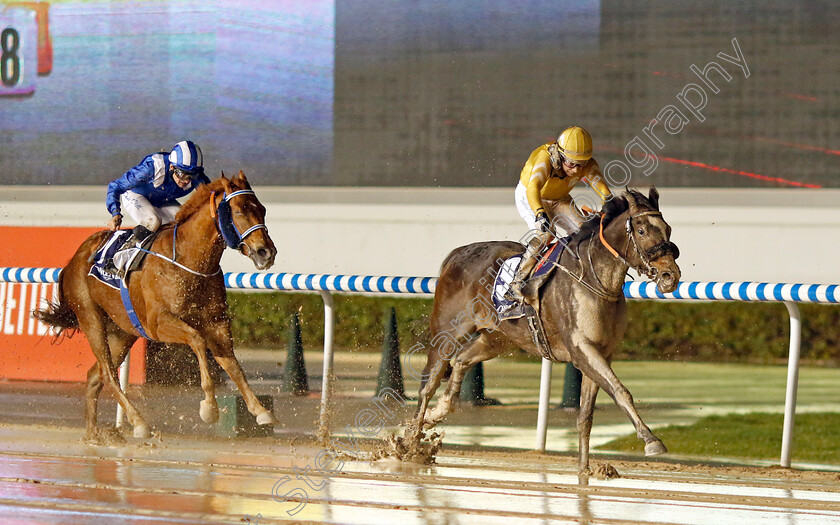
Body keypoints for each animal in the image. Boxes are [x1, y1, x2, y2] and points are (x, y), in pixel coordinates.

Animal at [36, 171, 278, 438]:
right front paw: (210, 408)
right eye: (238, 211)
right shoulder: (158, 324)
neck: (189, 259)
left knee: (94, 376)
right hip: (91, 319)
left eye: (262, 209)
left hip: (122, 331)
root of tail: (73, 261)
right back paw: (139, 422)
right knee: (108, 374)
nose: (266, 252)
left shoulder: (216, 322)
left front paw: (261, 410)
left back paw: (94, 434)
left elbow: (232, 364)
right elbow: (197, 340)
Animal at [408, 186, 684, 472]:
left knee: (461, 360)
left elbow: (586, 413)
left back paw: (438, 412)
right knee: (428, 383)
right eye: (641, 231)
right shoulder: (582, 349)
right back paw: (411, 444)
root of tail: (457, 254)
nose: (670, 276)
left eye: (668, 229)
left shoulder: (602, 353)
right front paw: (651, 440)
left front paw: (584, 469)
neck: (594, 278)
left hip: (496, 339)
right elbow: (621, 391)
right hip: (447, 333)